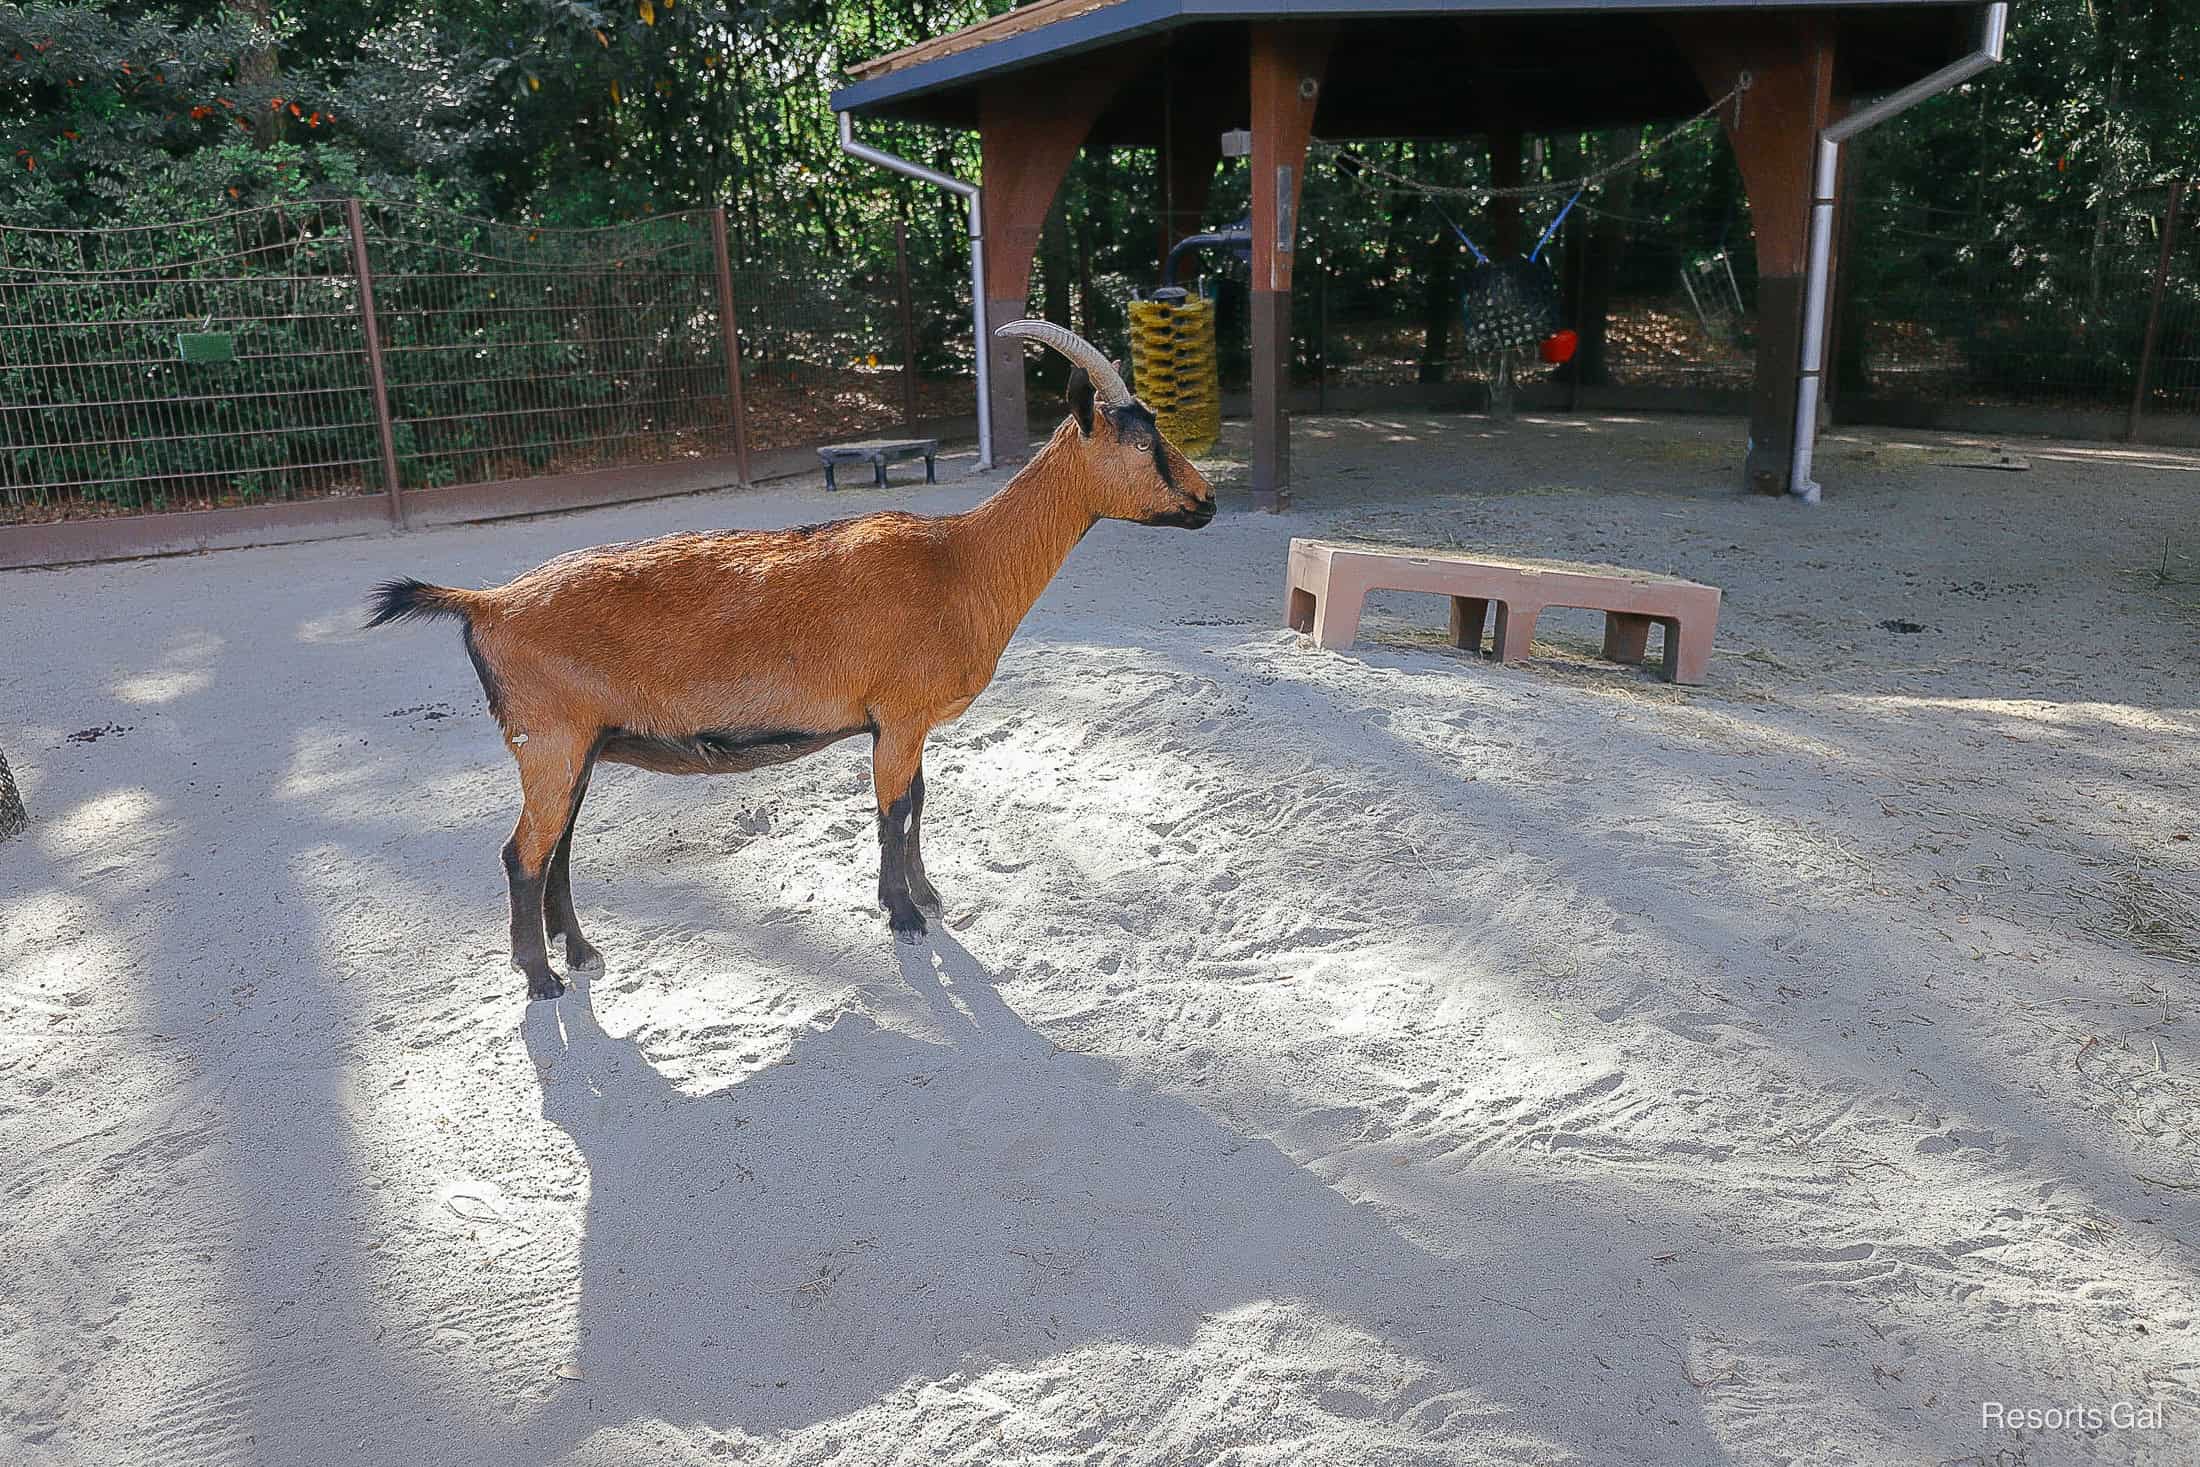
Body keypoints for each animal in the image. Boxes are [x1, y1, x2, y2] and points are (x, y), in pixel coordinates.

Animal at [367, 323, 1214, 998]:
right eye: (1141, 439)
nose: (1206, 502)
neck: (963, 561)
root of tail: (486, 603)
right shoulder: (898, 715)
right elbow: (893, 811)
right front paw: (903, 915)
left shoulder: (902, 723)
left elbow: (917, 802)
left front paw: (927, 896)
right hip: (548, 742)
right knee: (523, 853)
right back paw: (540, 977)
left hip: (574, 747)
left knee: (558, 849)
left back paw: (579, 954)